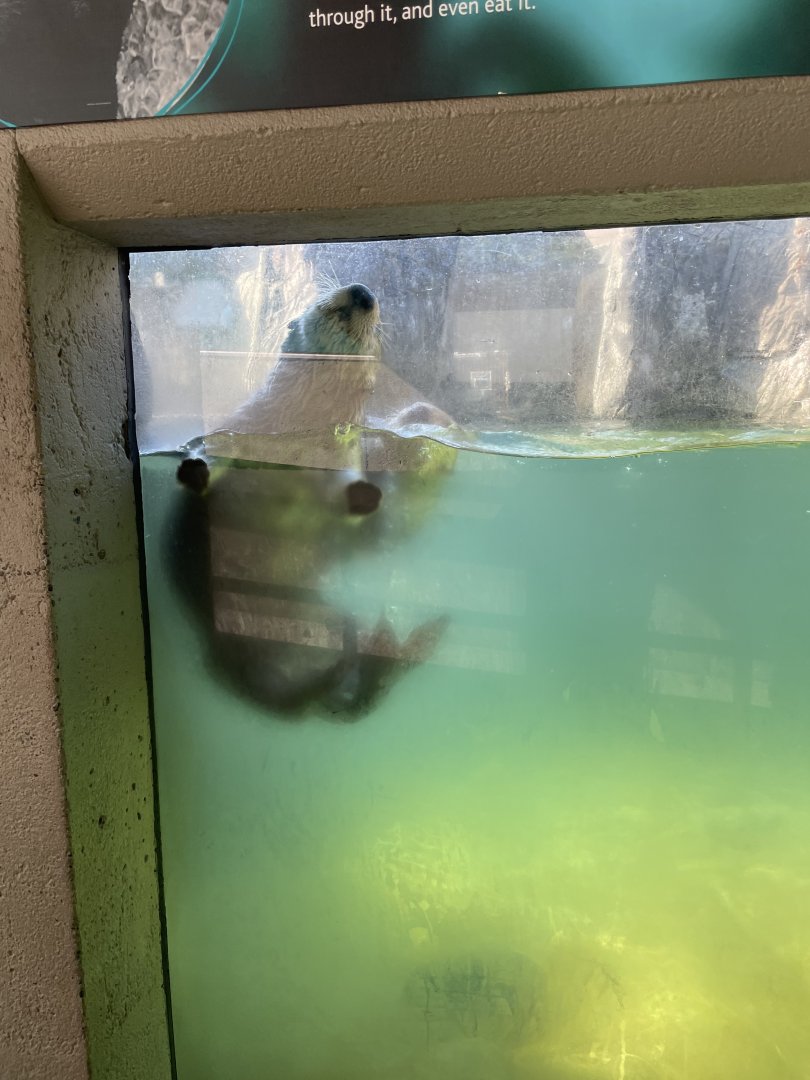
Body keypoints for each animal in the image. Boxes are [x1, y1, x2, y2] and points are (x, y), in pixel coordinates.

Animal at [166, 283, 456, 721]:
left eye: (377, 329)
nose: (363, 292)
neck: (299, 438)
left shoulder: (343, 458)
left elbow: (347, 500)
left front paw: (364, 495)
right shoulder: (236, 432)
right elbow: (210, 457)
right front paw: (195, 472)